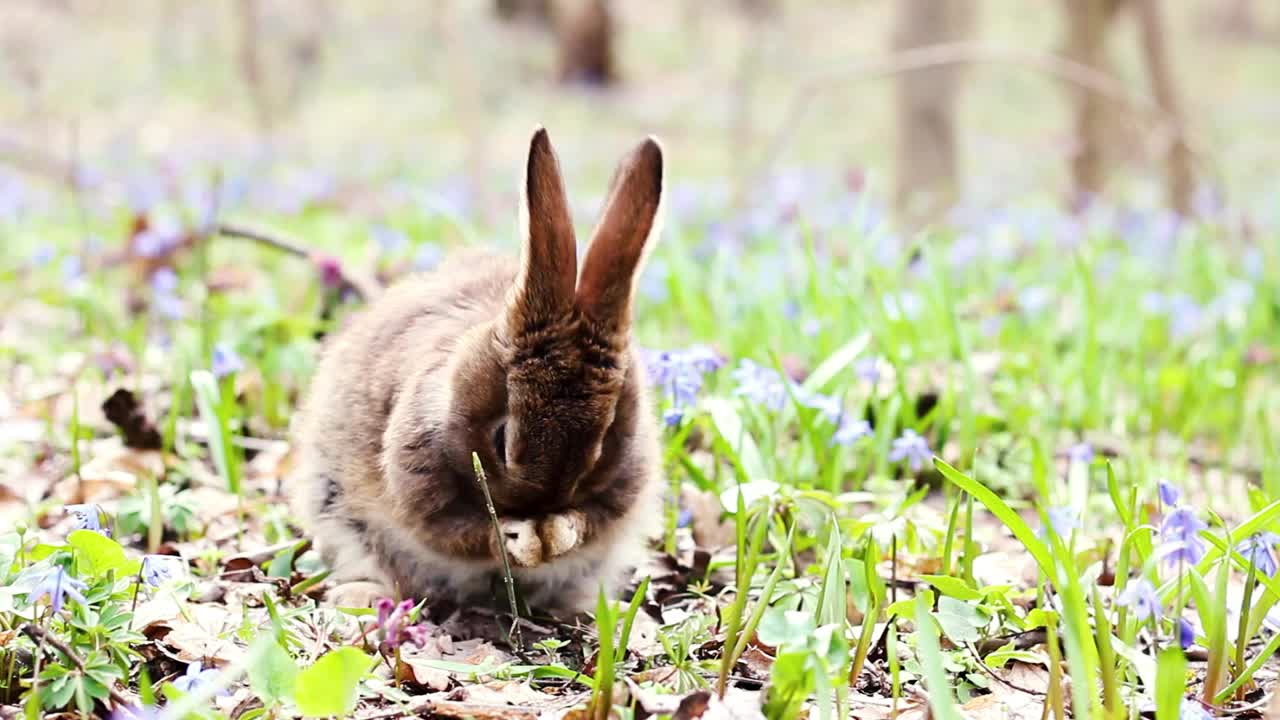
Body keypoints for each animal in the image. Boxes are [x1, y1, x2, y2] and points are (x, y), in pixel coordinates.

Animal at [289, 124, 665, 609]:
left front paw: (558, 532)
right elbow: (459, 533)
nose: (540, 507)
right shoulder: (417, 485)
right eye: (501, 439)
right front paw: (518, 537)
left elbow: (592, 520)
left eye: (602, 447)